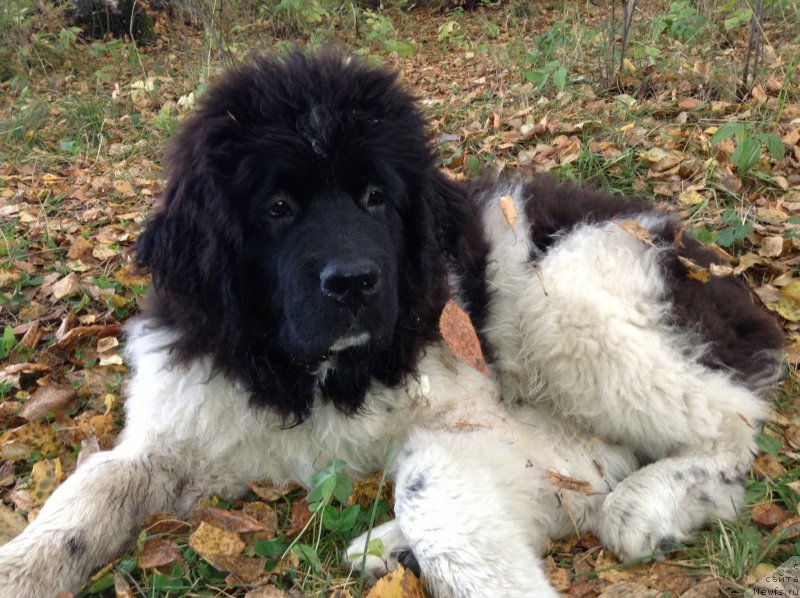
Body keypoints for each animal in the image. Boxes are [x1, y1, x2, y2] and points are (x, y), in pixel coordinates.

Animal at [0, 51, 780, 598]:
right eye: (277, 208)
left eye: (377, 197)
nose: (352, 283)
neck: (311, 372)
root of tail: (715, 267)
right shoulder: (179, 417)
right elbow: (90, 493)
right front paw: (22, 566)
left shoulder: (478, 412)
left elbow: (431, 489)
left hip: (568, 310)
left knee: (730, 424)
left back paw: (650, 506)